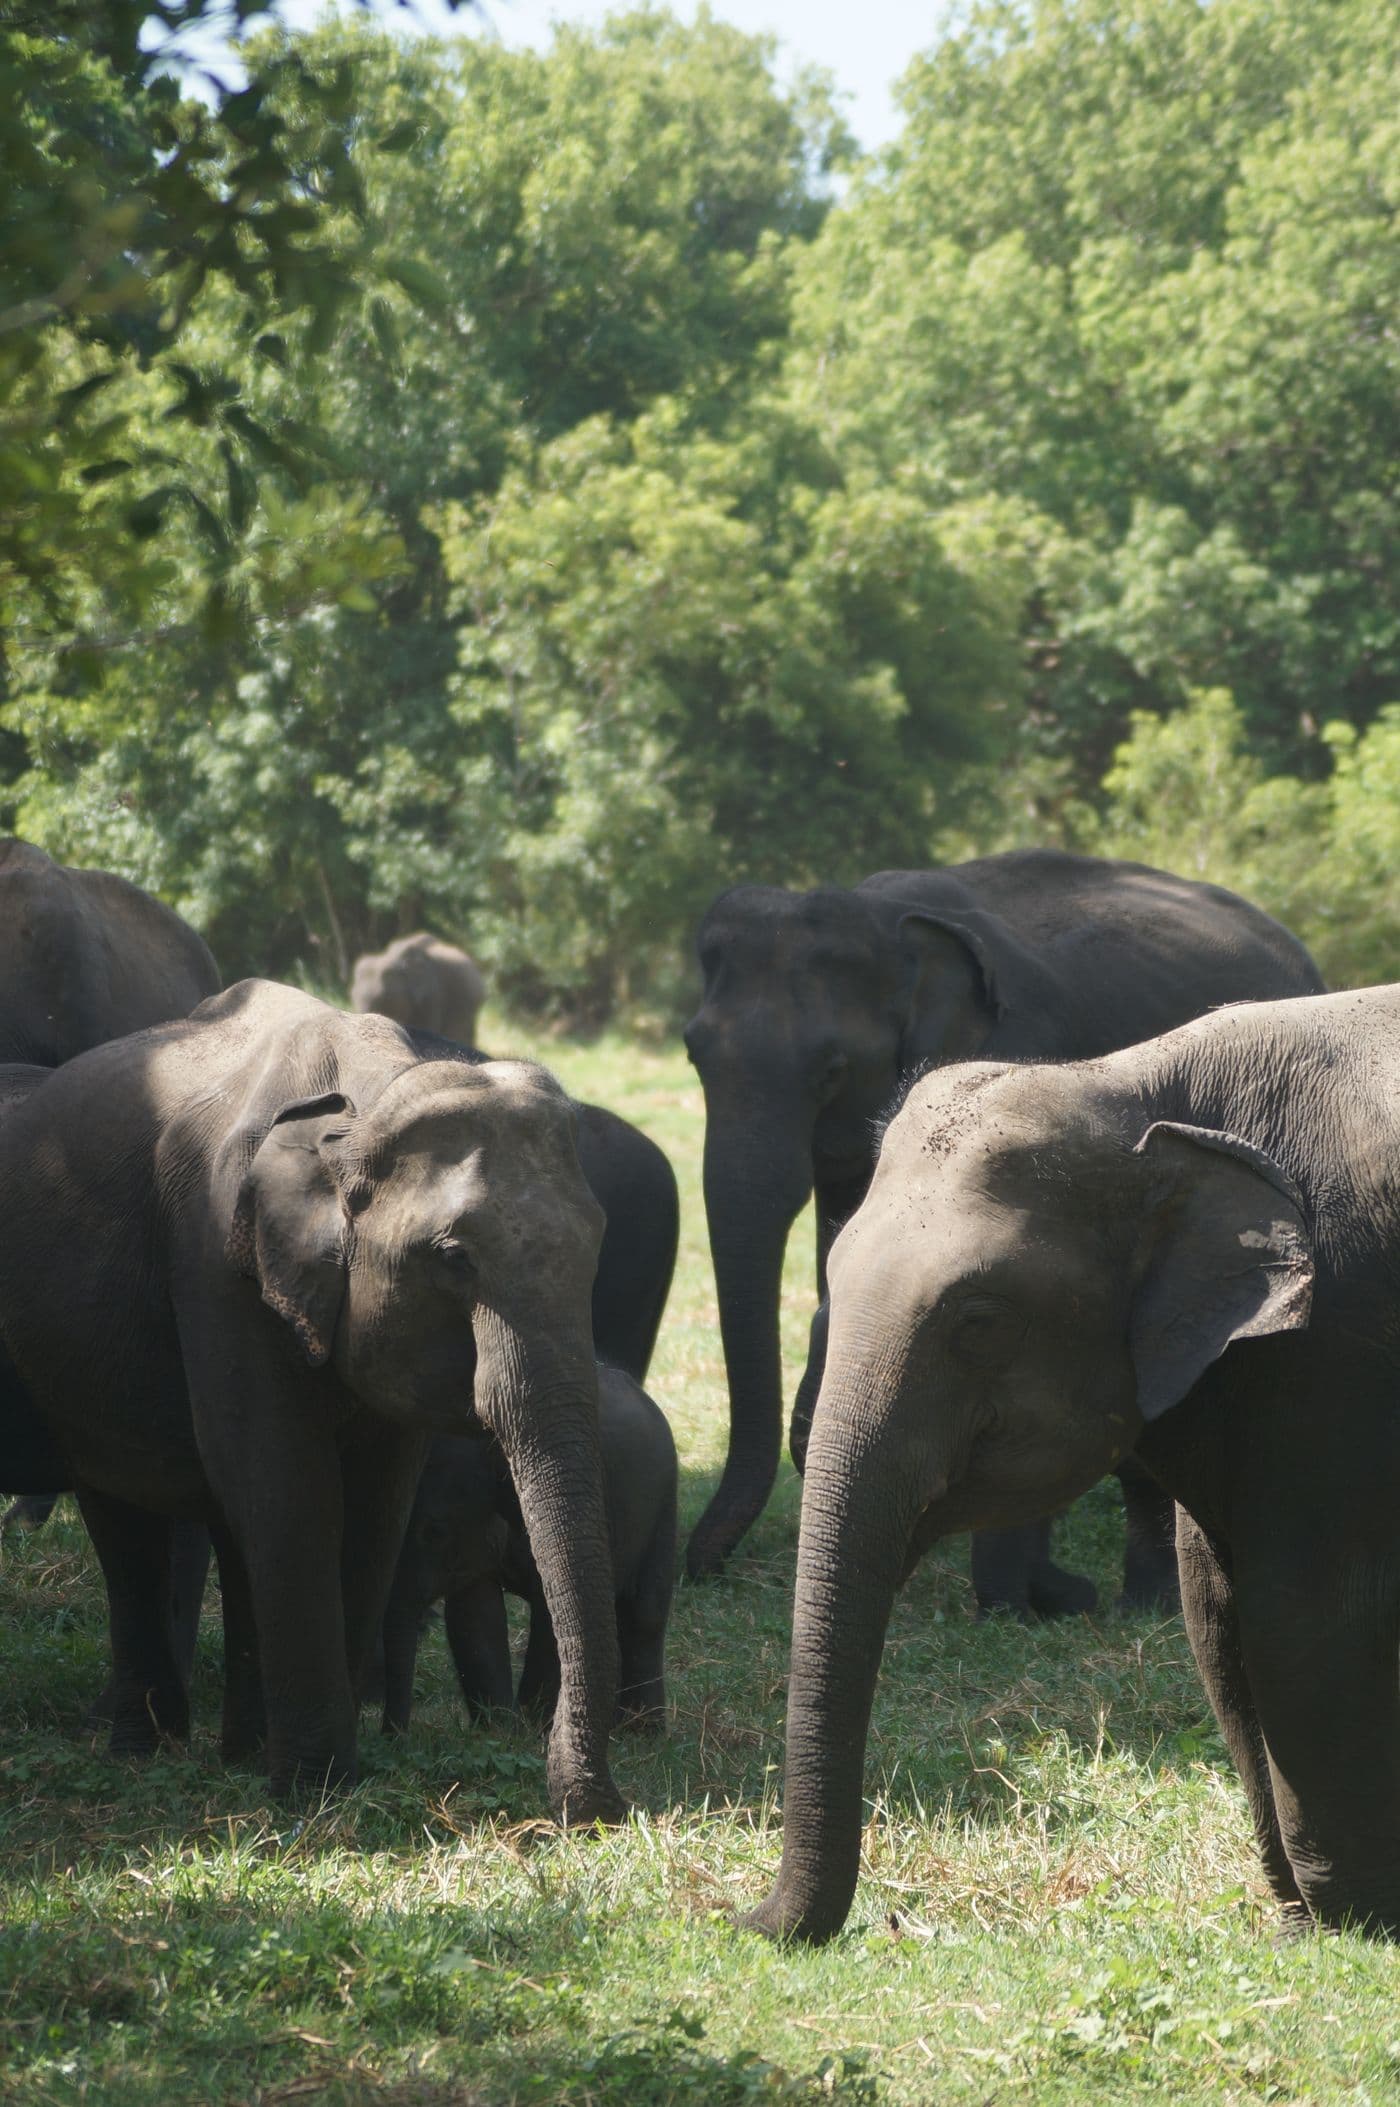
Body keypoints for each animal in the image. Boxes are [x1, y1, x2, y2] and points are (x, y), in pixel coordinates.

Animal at [0, 980, 624, 1821]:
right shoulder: (214, 1257)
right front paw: (315, 1790)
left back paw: (225, 1750)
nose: (590, 1808)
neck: (363, 1097)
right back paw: (150, 1750)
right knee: (133, 1512)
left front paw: (318, 1776)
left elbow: (375, 1499)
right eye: (453, 1258)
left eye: (596, 1246)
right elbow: (285, 1480)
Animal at [381, 1363, 677, 1735]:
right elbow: (475, 1614)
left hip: (663, 1502)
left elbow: (553, 1616)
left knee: (645, 1612)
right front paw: (498, 1731)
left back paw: (642, 1732)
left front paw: (532, 1726)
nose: (393, 1737)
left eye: (434, 1532)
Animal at [749, 982, 1400, 1943]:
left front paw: (1349, 1924)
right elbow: (1214, 1612)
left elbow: (1305, 1619)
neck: (1127, 1088)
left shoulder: (1340, 1352)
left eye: (979, 1321)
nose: (740, 1919)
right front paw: (1302, 1920)